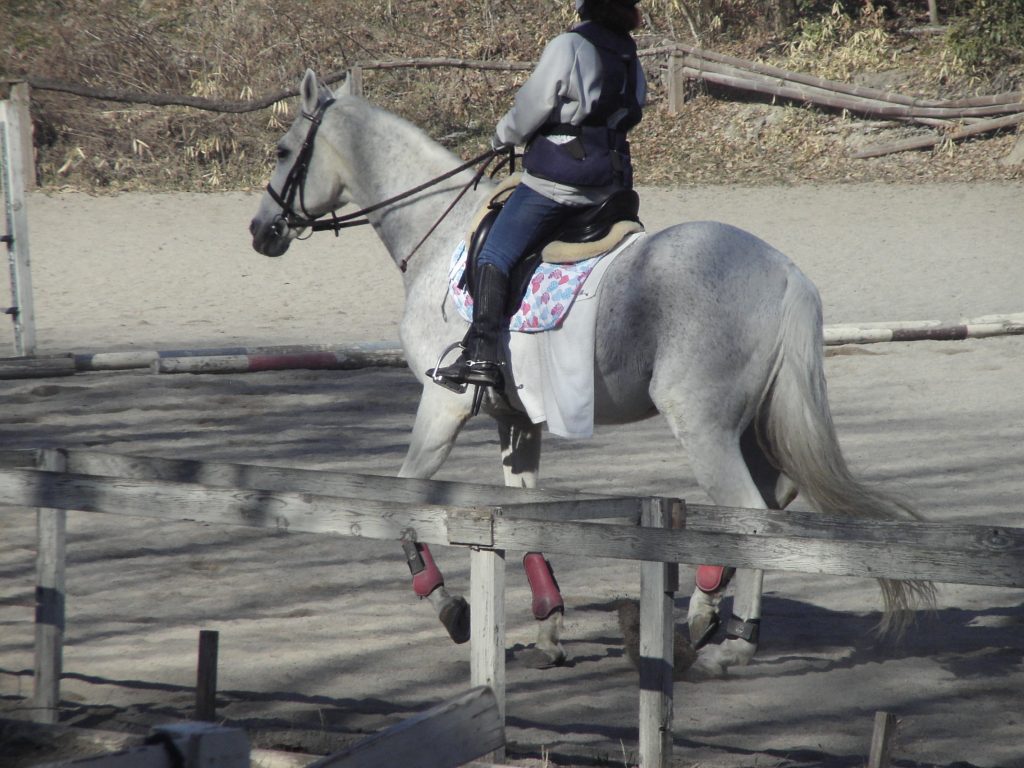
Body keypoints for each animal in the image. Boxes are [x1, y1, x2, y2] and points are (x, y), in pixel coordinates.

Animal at [250, 69, 934, 678]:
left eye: (283, 151)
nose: (261, 231)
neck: (439, 237)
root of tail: (784, 271)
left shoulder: (443, 405)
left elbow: (403, 502)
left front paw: (452, 609)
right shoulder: (514, 421)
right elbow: (521, 515)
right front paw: (549, 628)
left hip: (704, 428)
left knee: (752, 516)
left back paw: (726, 636)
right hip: (749, 427)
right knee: (774, 504)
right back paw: (715, 616)